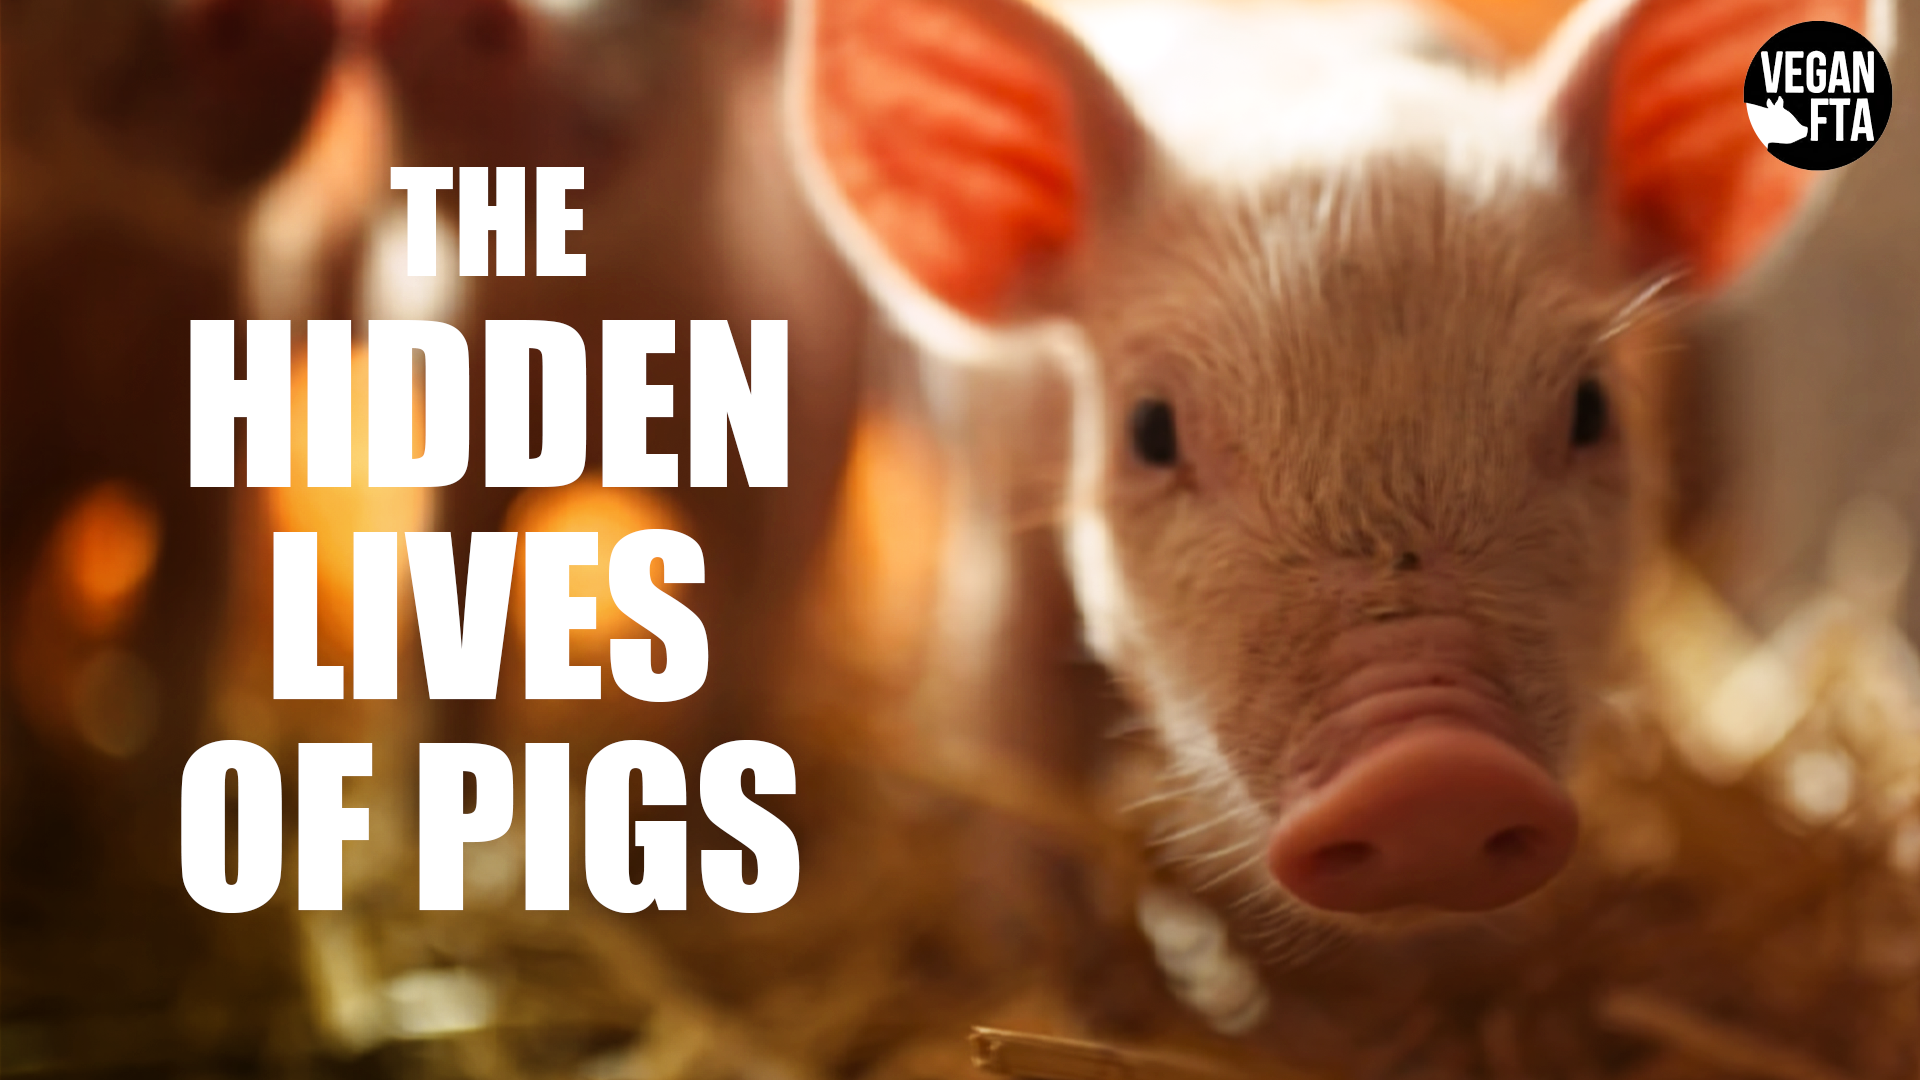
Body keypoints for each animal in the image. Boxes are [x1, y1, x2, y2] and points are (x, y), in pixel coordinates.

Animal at [783, 0, 1836, 929]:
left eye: (1591, 408)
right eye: (1150, 429)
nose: (1433, 777)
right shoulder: (996, 505)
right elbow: (1008, 717)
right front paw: (1030, 947)